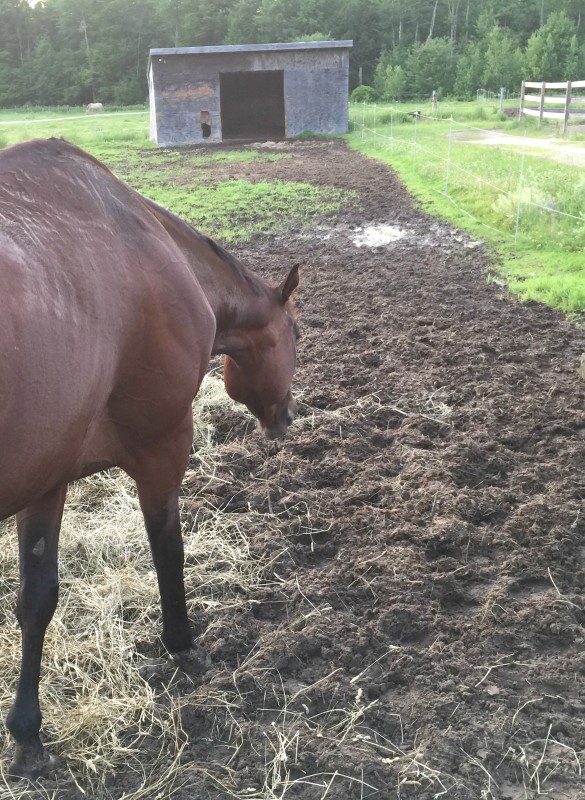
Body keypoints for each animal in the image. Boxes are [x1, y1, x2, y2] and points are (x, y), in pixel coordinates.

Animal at [0, 138, 300, 778]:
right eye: (299, 334)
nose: (286, 417)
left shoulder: (47, 479)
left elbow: (36, 598)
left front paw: (28, 732)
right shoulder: (164, 443)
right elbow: (168, 548)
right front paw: (182, 643)